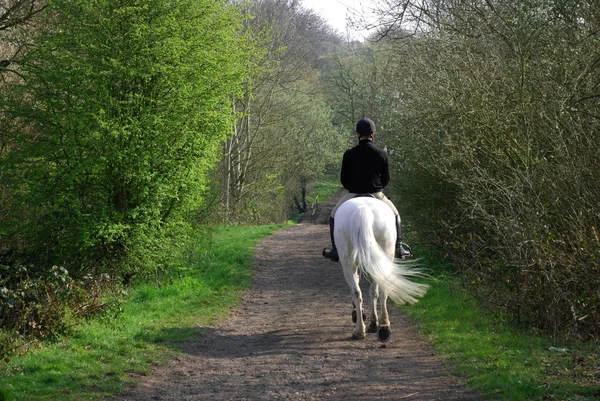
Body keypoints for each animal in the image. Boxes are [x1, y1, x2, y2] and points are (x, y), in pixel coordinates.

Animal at [336, 195, 428, 340]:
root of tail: (364, 210)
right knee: (378, 290)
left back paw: (363, 329)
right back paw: (382, 327)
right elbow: (372, 291)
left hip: (350, 263)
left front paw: (363, 316)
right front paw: (371, 321)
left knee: (361, 291)